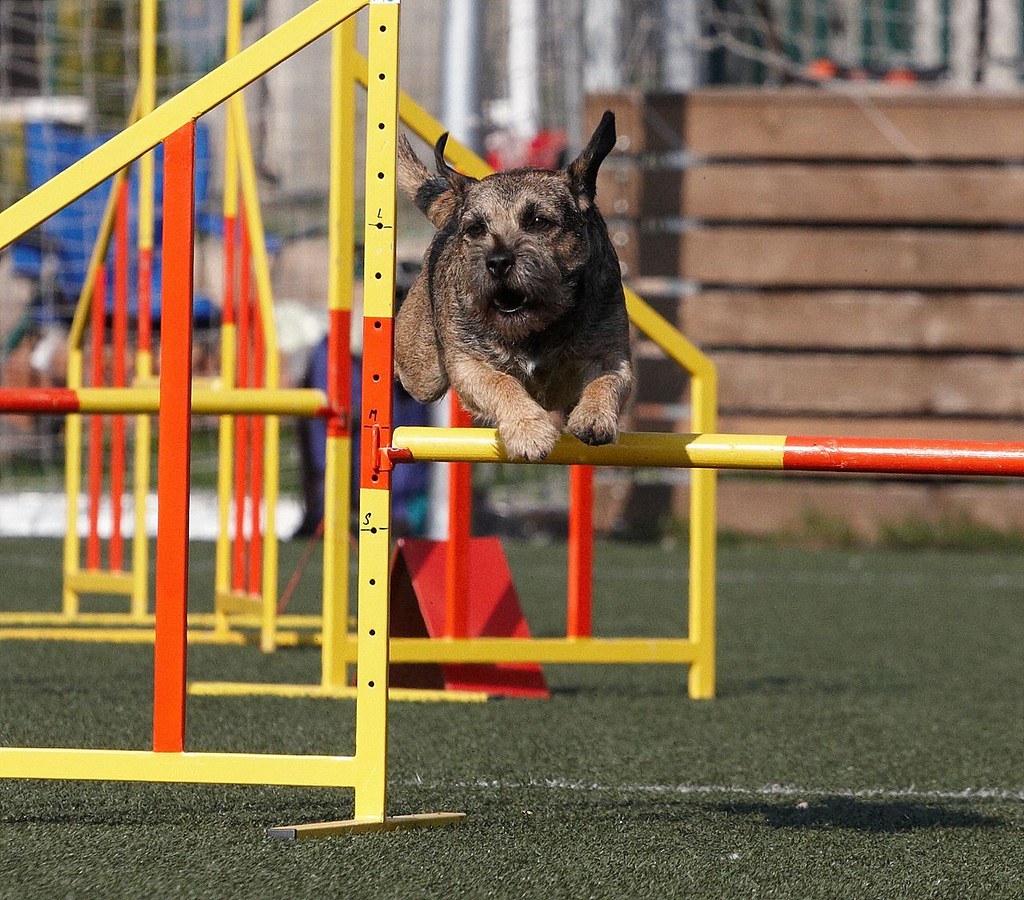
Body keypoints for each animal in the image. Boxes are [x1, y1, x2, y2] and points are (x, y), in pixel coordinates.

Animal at [393, 111, 634, 461]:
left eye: (538, 222)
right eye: (476, 229)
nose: (497, 262)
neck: (537, 328)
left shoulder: (611, 355)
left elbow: (605, 382)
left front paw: (594, 416)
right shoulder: (469, 365)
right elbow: (501, 382)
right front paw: (529, 431)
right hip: (422, 370)